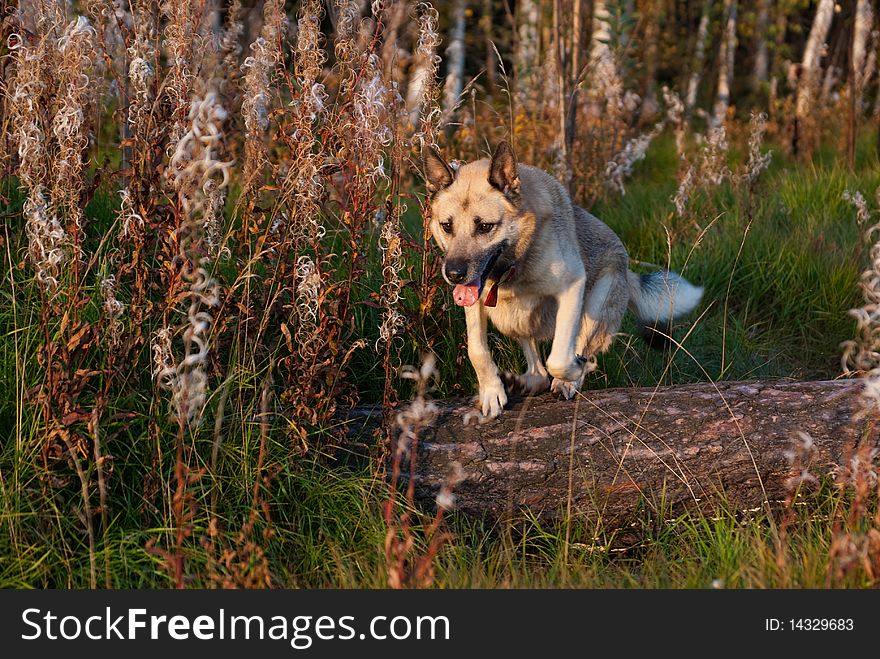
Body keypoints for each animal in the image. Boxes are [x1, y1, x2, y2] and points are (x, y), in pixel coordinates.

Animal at [422, 140, 704, 420]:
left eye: (484, 227)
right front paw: (492, 392)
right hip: (513, 319)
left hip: (595, 309)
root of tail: (627, 269)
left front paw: (574, 371)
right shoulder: (476, 303)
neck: (515, 264)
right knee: (537, 369)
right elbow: (477, 350)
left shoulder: (572, 287)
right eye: (447, 226)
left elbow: (559, 359)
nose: (454, 274)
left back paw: (568, 379)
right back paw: (523, 383)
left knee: (576, 349)